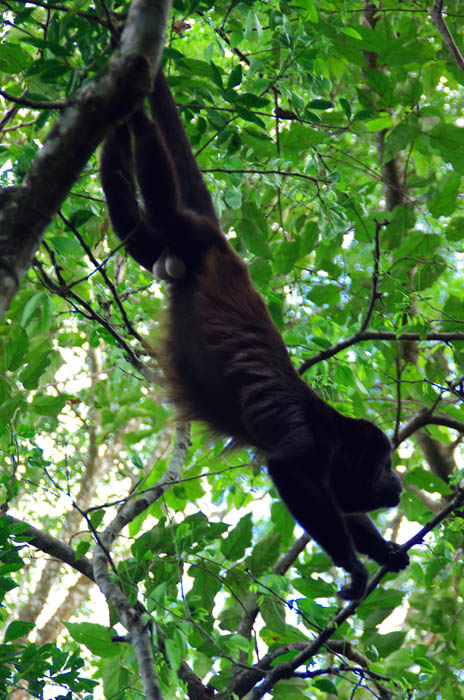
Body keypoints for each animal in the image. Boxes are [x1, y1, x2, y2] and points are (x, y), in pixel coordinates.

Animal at [100, 67, 409, 600]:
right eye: (383, 464)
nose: (398, 483)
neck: (333, 435)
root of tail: (225, 249)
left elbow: (343, 509)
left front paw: (385, 551)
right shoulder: (302, 435)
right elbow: (287, 472)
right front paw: (354, 567)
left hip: (168, 250)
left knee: (131, 224)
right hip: (192, 235)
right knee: (161, 204)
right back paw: (138, 115)